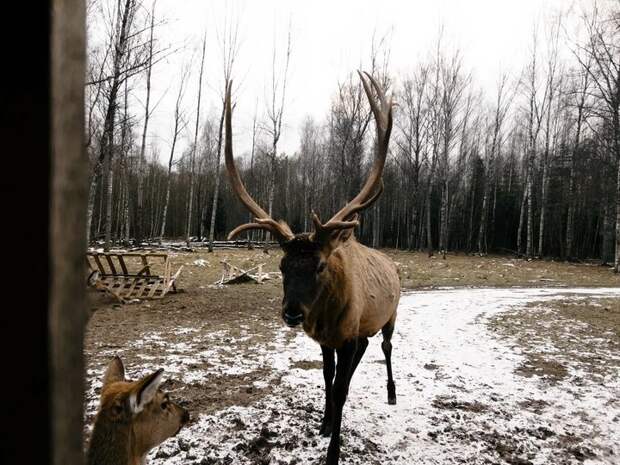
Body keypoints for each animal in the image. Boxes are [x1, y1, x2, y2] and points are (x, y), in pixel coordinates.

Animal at [225, 71, 400, 464]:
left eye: (319, 265)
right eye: (282, 264)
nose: (292, 313)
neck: (330, 319)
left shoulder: (347, 336)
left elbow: (341, 388)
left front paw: (333, 451)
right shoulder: (328, 341)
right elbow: (327, 378)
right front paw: (323, 423)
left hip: (392, 314)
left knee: (385, 347)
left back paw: (392, 392)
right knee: (358, 357)